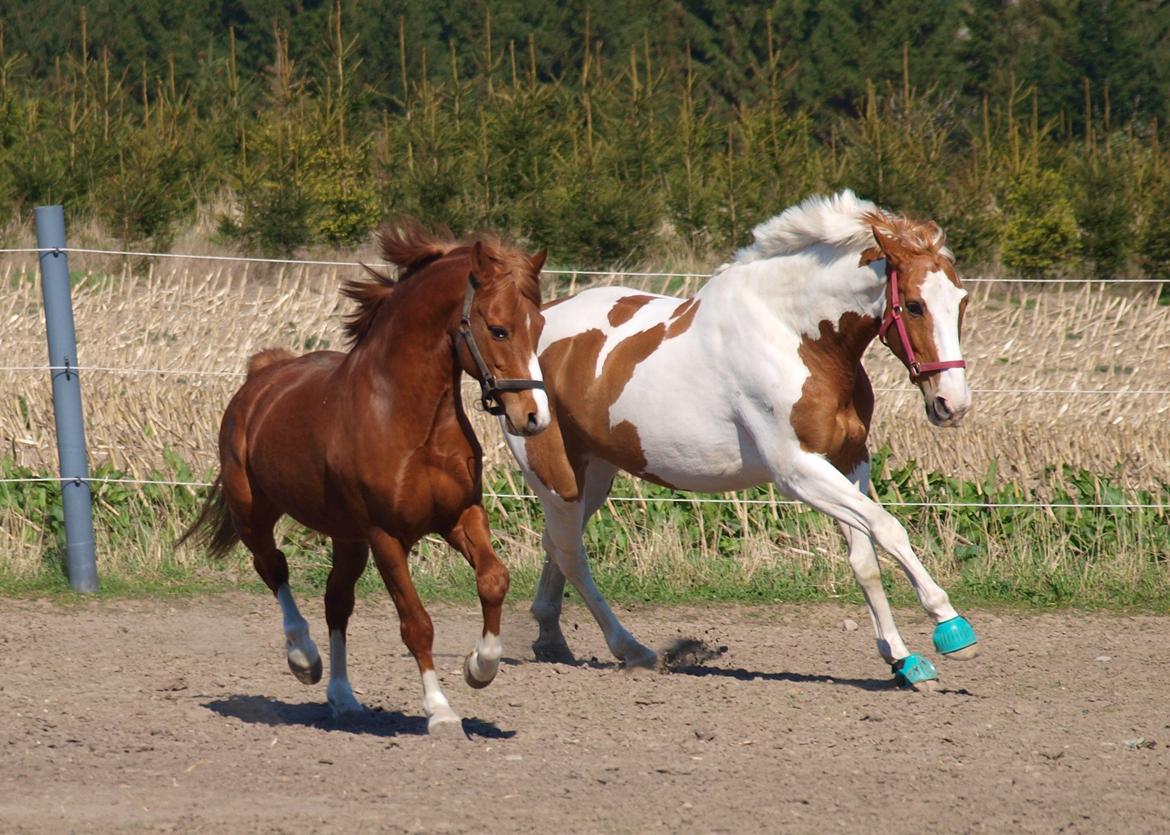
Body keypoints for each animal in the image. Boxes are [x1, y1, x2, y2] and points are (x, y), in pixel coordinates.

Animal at [180, 222, 550, 733]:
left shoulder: (460, 515)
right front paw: (440, 711)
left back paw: (342, 696)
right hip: (254, 515)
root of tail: (261, 377)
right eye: (498, 329)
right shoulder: (386, 535)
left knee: (337, 599)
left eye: (540, 327)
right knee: (274, 569)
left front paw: (480, 667)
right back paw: (304, 660)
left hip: (347, 537)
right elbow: (416, 624)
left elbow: (494, 578)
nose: (533, 417)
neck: (411, 420)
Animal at [505, 190, 977, 688]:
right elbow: (888, 529)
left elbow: (863, 559)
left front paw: (902, 660)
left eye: (961, 302)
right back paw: (631, 649)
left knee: (556, 543)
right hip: (554, 474)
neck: (795, 335)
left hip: (592, 475)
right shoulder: (798, 471)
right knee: (572, 553)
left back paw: (551, 639)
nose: (952, 403)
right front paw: (951, 628)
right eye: (913, 305)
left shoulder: (850, 461)